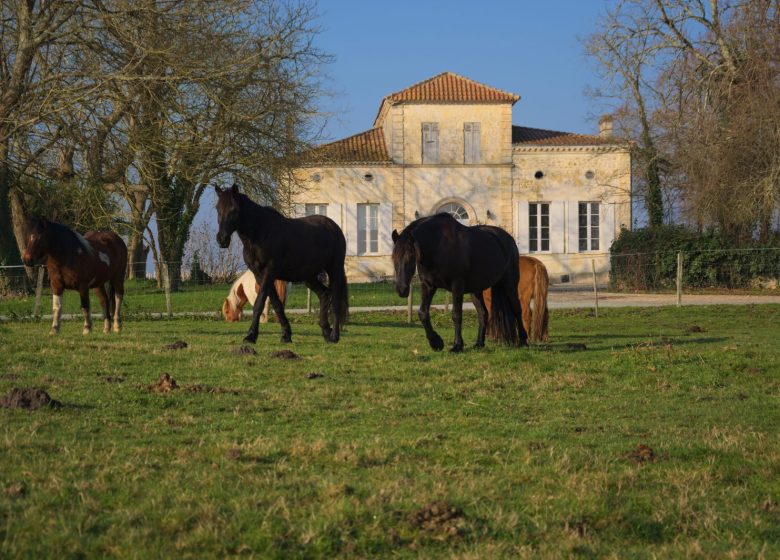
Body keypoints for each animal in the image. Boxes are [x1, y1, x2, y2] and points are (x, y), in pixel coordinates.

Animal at [394, 212, 528, 352]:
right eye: (394, 258)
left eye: (410, 257)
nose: (402, 289)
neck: (438, 246)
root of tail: (509, 240)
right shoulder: (428, 286)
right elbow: (422, 313)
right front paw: (436, 342)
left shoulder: (457, 286)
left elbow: (456, 314)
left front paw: (457, 345)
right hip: (476, 290)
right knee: (483, 313)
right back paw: (479, 343)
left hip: (510, 285)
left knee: (517, 309)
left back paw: (523, 341)